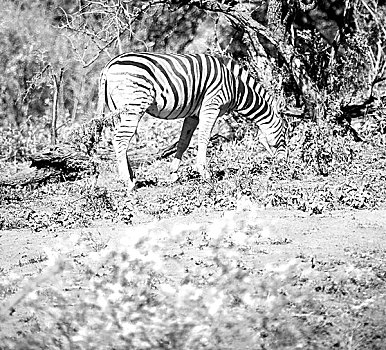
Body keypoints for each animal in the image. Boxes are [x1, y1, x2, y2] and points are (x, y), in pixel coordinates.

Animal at [97, 52, 286, 189]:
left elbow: (183, 142)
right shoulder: (211, 106)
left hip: (118, 110)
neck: (234, 86)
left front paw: (173, 174)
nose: (284, 164)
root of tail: (108, 66)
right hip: (134, 106)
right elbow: (204, 138)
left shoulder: (193, 115)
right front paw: (205, 173)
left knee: (119, 139)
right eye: (284, 132)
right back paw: (128, 183)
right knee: (120, 139)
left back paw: (132, 177)